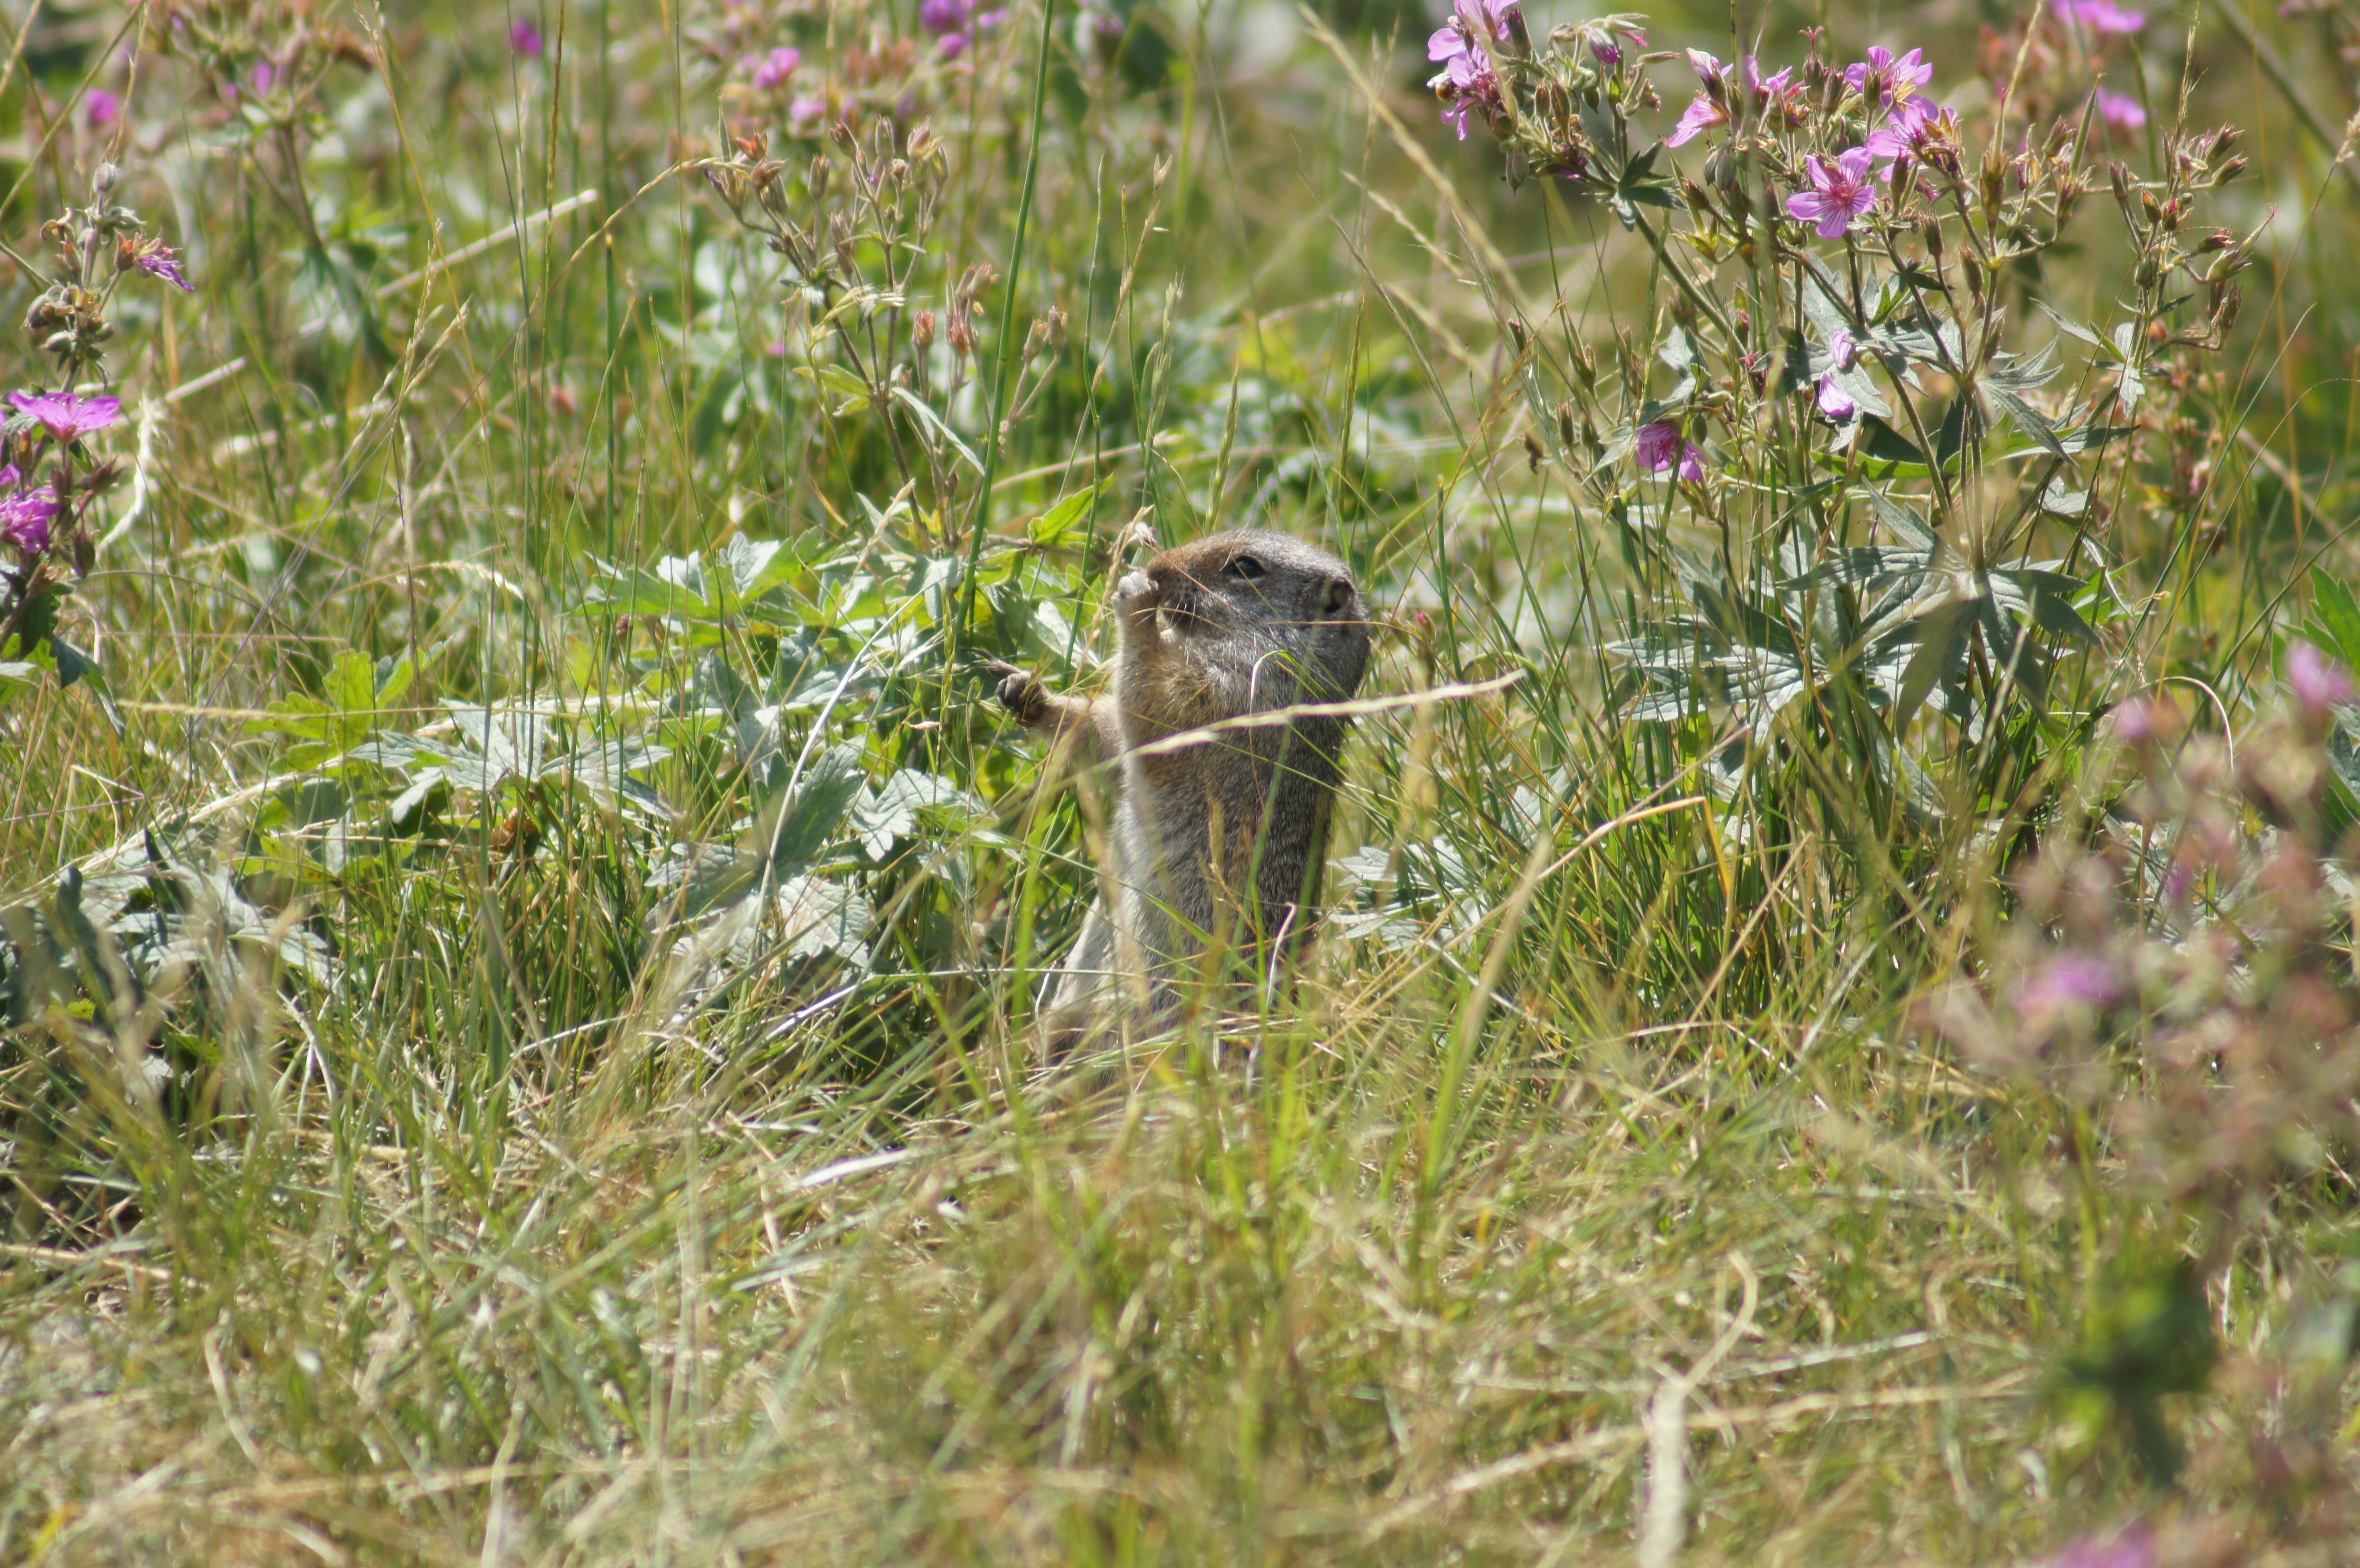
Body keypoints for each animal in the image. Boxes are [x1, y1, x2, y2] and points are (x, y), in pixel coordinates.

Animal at [989, 529, 1372, 1057]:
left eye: (1246, 567)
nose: (1156, 568)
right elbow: (1109, 738)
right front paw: (1028, 693)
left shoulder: (1229, 696)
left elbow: (1152, 704)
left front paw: (1136, 600)